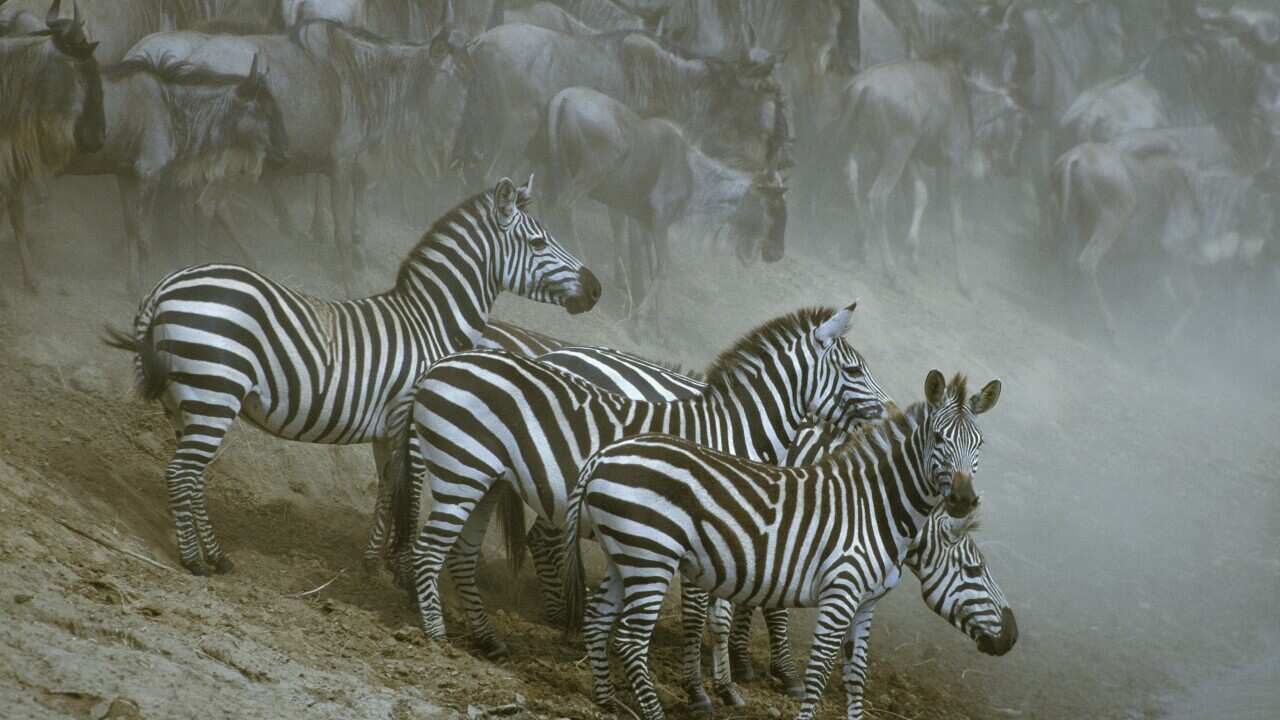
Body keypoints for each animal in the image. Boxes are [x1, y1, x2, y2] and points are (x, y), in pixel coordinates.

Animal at [102, 176, 601, 576]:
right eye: (537, 244)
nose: (596, 289)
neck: (430, 321)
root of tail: (166, 285)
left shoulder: (388, 429)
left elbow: (386, 491)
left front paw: (371, 564)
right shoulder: (413, 424)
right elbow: (411, 496)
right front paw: (401, 570)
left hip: (185, 401)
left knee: (192, 477)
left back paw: (217, 556)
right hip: (214, 394)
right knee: (180, 474)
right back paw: (194, 560)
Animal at [384, 305, 892, 687]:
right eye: (853, 369)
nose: (889, 415)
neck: (732, 429)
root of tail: (440, 364)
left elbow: (730, 606)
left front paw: (727, 679)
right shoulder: (713, 528)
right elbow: (708, 612)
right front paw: (711, 685)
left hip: (485, 478)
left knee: (462, 555)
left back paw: (491, 640)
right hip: (461, 469)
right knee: (432, 551)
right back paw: (437, 635)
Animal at [562, 370, 1007, 720]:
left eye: (980, 444)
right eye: (939, 437)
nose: (964, 499)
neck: (874, 507)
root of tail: (605, 454)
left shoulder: (866, 603)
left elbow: (855, 677)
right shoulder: (840, 593)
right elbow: (819, 672)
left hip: (625, 555)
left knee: (599, 617)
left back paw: (605, 699)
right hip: (650, 556)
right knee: (630, 640)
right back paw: (651, 712)